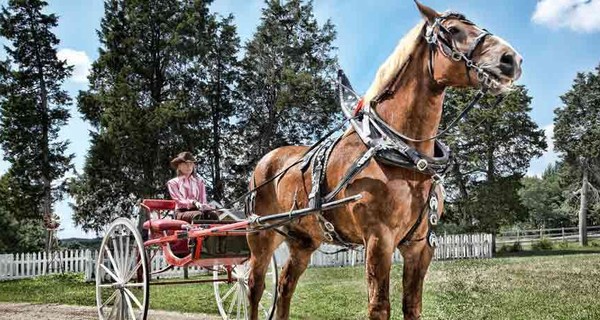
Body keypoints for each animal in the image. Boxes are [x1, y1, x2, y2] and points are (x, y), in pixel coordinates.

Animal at [246, 2, 524, 320]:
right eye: (452, 30)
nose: (511, 59)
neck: (403, 154)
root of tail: (265, 161)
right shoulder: (379, 240)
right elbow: (379, 306)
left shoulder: (419, 245)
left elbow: (412, 305)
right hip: (261, 235)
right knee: (255, 286)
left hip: (303, 240)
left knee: (285, 286)